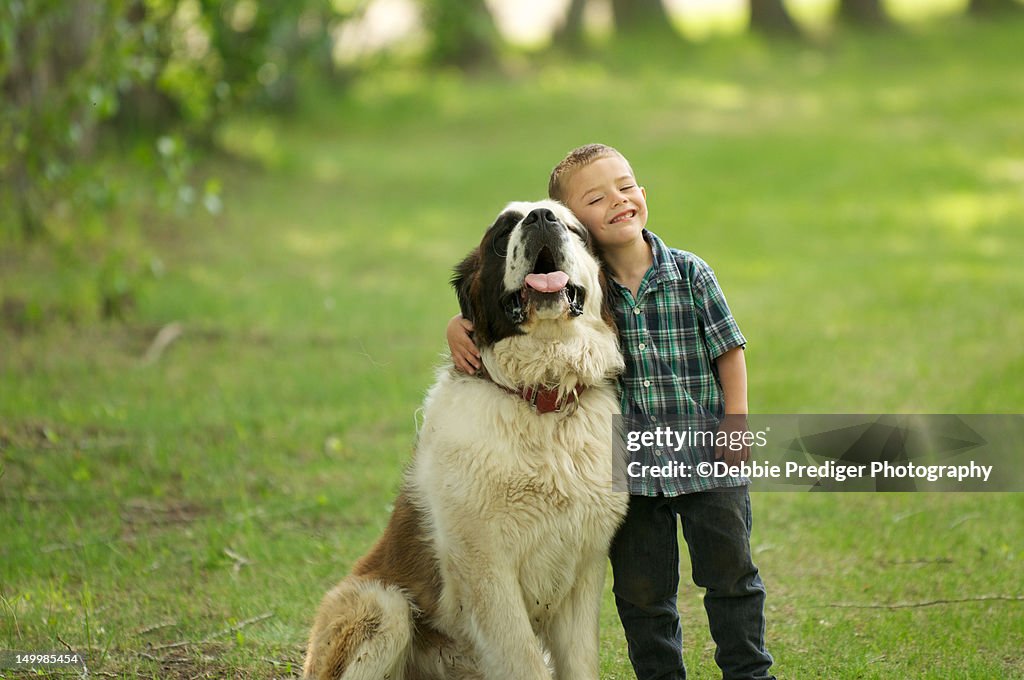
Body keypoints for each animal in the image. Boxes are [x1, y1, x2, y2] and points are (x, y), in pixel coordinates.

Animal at [299, 199, 626, 675]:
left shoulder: (584, 568)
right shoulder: (486, 570)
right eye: (503, 233)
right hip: (380, 605)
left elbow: (579, 661)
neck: (541, 397)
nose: (541, 218)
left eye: (572, 228)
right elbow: (523, 659)